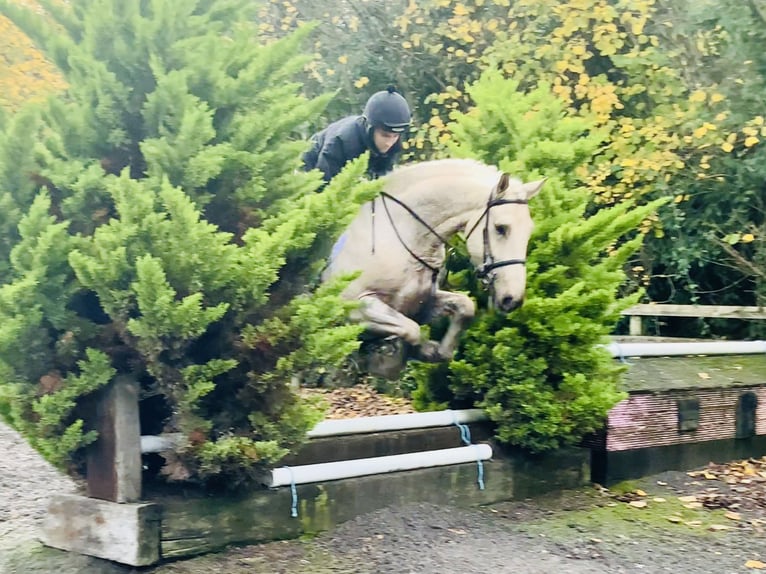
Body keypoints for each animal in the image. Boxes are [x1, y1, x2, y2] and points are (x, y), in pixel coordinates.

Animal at [323, 158, 544, 372]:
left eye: (529, 230)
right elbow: (411, 329)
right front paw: (391, 362)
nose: (512, 300)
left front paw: (434, 352)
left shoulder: (423, 303)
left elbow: (465, 307)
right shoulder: (354, 307)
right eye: (501, 228)